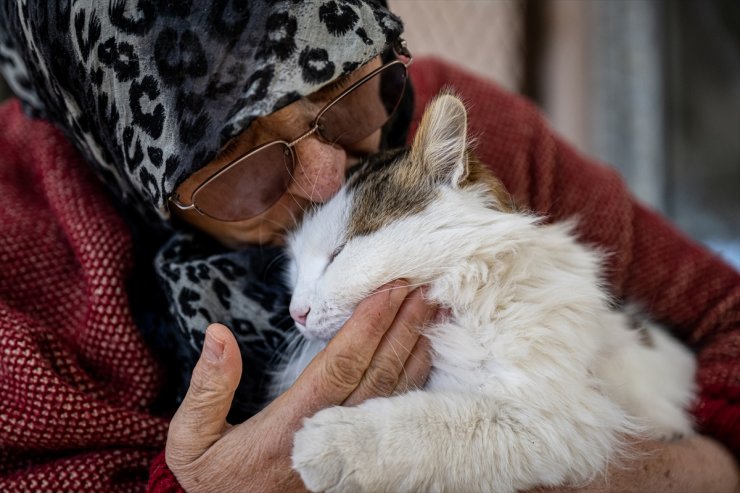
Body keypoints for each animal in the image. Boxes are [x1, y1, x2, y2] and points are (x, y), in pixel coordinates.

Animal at [274, 93, 696, 492]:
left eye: (339, 252)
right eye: (294, 268)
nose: (297, 312)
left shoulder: (550, 418)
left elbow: (425, 426)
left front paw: (329, 444)